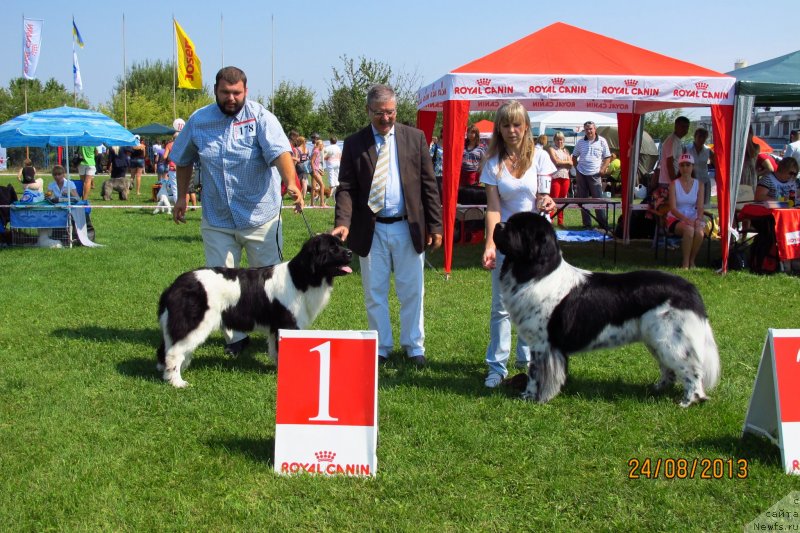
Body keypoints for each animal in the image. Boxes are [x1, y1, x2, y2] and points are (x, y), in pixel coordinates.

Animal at [158, 233, 352, 386]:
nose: (350, 252)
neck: (302, 277)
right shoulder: (287, 324)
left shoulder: (275, 328)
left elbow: (276, 351)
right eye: (333, 248)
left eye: (340, 243)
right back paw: (177, 382)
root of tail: (174, 285)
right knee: (173, 352)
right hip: (194, 323)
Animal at [490, 210, 720, 406]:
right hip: (655, 339)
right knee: (669, 369)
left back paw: (689, 401)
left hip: (670, 340)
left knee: (691, 369)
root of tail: (690, 289)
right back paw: (657, 389)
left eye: (519, 229)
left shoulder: (543, 343)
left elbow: (535, 373)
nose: (498, 225)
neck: (536, 273)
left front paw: (530, 397)